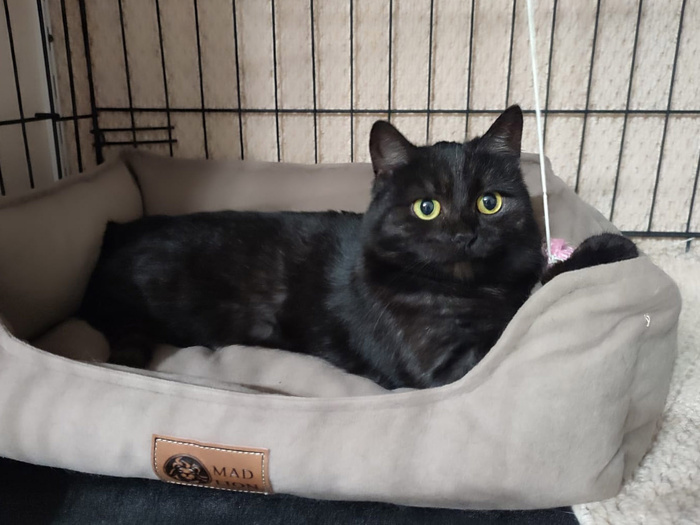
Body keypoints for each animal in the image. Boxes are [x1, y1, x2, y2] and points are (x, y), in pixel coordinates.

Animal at [79, 105, 637, 389]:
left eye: (490, 202)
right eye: (427, 207)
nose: (465, 233)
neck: (469, 286)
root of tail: (118, 231)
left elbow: (529, 290)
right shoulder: (447, 364)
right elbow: (520, 311)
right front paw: (610, 246)